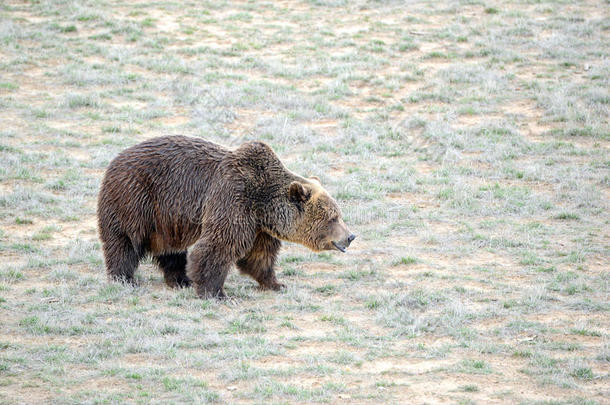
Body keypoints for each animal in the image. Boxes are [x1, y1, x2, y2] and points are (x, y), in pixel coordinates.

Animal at [97, 136, 354, 296]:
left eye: (339, 214)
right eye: (333, 217)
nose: (350, 236)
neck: (262, 202)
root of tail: (114, 161)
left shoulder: (258, 225)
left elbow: (259, 256)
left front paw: (276, 283)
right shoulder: (233, 198)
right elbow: (218, 245)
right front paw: (215, 292)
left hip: (168, 218)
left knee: (172, 249)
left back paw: (180, 280)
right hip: (135, 199)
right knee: (124, 241)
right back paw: (124, 278)